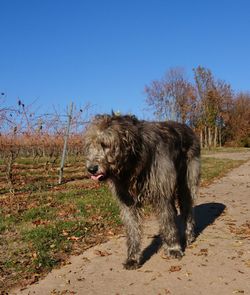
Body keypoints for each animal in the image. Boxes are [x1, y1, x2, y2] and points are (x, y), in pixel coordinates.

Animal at [84, 114, 201, 270]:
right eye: (90, 145)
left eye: (105, 144)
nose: (91, 169)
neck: (133, 164)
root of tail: (188, 128)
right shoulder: (127, 201)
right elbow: (132, 229)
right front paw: (133, 258)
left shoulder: (161, 192)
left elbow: (168, 220)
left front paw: (173, 248)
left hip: (187, 181)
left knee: (187, 208)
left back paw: (188, 236)